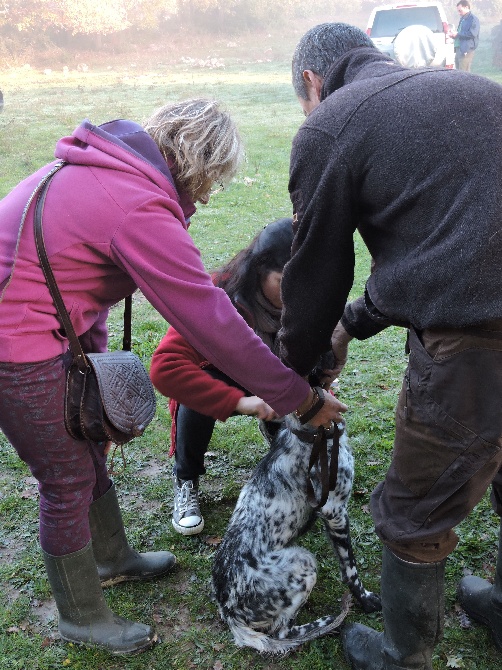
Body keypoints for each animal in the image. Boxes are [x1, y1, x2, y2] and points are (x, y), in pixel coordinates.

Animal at [211, 412, 380, 652]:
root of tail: (229, 613)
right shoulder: (335, 511)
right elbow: (351, 569)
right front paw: (365, 599)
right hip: (303, 561)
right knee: (282, 632)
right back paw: (326, 623)